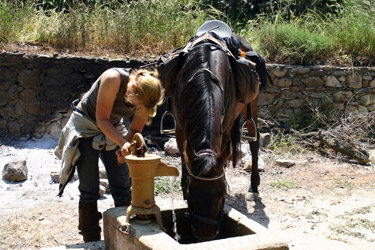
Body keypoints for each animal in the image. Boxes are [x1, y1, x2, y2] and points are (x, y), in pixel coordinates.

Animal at [157, 30, 266, 240]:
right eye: (192, 194)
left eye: (222, 193)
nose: (205, 236)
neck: (204, 73)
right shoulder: (181, 126)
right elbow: (184, 156)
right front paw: (183, 185)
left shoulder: (226, 125)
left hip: (253, 104)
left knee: (255, 143)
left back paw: (255, 186)